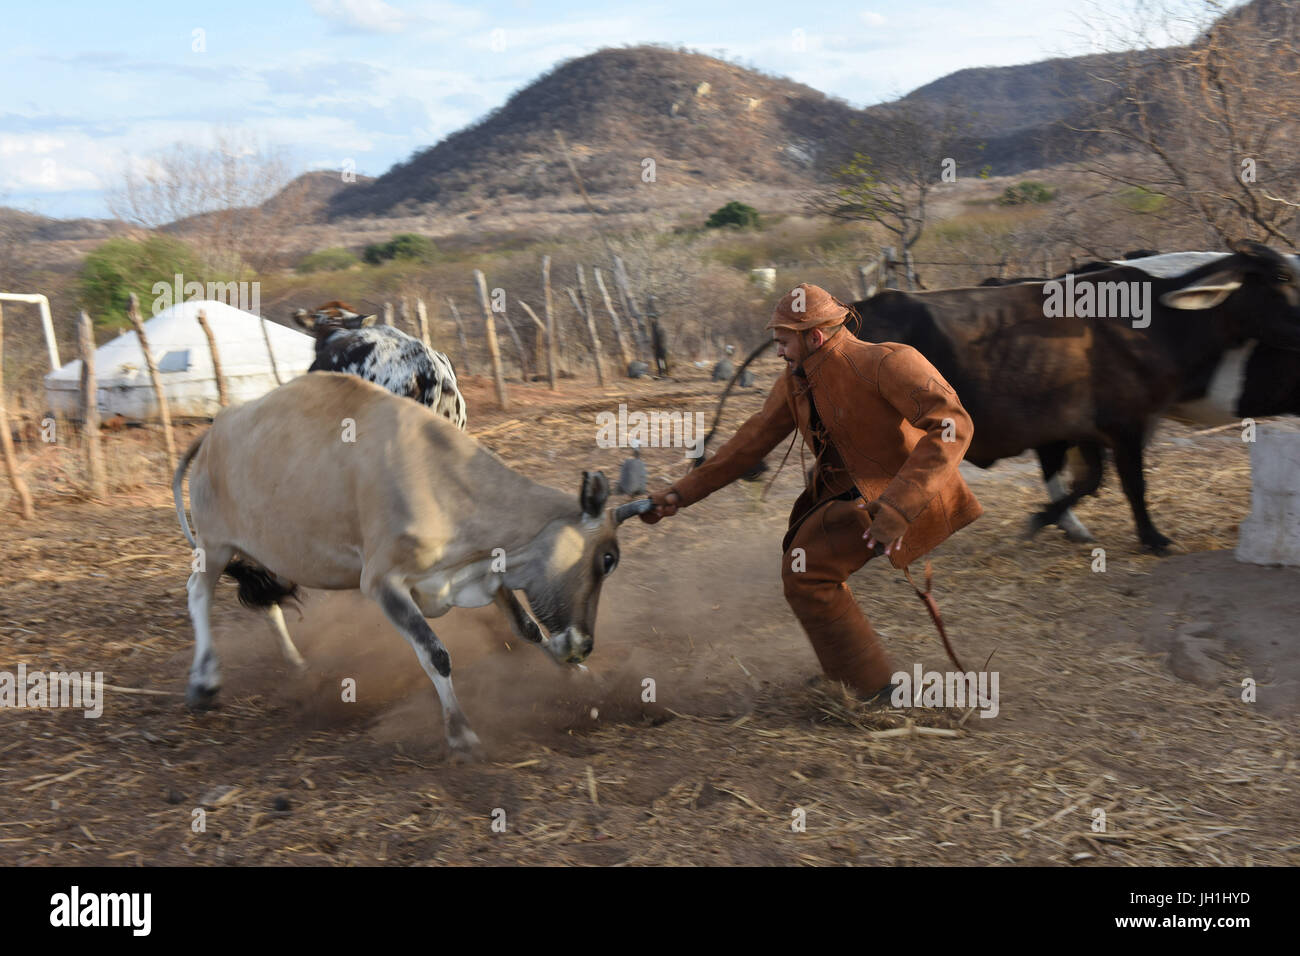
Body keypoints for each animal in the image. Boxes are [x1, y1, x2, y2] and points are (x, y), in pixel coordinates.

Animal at [175, 371, 650, 754]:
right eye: (608, 559)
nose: (584, 645)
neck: (442, 484)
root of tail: (216, 429)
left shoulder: (486, 575)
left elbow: (527, 628)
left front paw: (580, 676)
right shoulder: (382, 583)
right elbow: (435, 653)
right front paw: (461, 732)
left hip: (267, 549)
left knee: (269, 599)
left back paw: (296, 662)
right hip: (215, 544)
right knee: (198, 593)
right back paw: (204, 681)